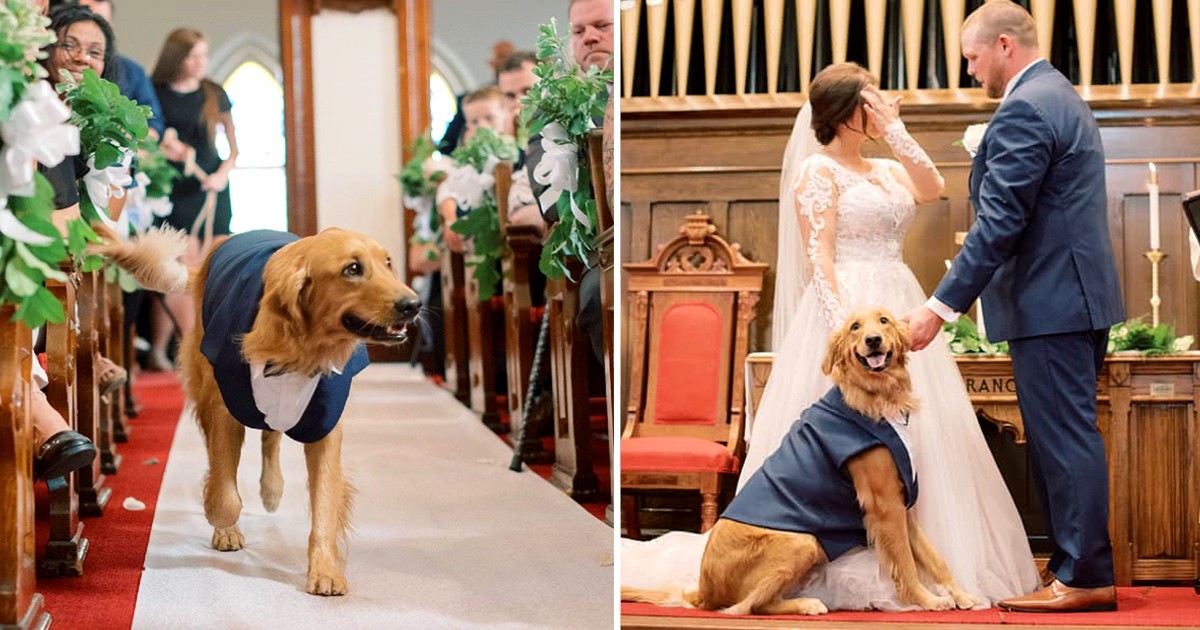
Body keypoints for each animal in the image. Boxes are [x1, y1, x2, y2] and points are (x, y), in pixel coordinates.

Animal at [90, 225, 417, 595]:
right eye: (352, 269)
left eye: (387, 262)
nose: (413, 305)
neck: (300, 347)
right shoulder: (224, 408)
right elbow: (224, 495)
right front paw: (221, 522)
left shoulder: (325, 425)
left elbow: (324, 502)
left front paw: (325, 569)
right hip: (206, 388)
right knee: (222, 457)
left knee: (270, 437)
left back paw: (272, 487)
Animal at [624, 307, 979, 614]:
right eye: (855, 327)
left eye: (884, 321)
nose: (873, 340)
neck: (876, 397)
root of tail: (704, 590)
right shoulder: (884, 504)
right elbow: (905, 562)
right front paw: (927, 600)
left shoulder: (899, 500)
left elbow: (934, 557)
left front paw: (961, 594)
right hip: (802, 541)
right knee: (747, 607)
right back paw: (806, 603)